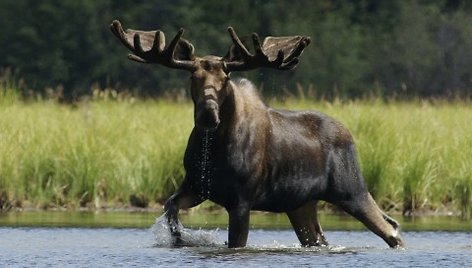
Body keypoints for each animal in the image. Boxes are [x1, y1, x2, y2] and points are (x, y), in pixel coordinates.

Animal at [109, 19, 404, 248]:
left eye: (225, 79)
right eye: (193, 77)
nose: (208, 115)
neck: (214, 149)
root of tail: (350, 135)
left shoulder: (242, 199)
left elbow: (236, 242)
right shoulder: (196, 186)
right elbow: (170, 208)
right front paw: (180, 239)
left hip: (351, 190)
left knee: (391, 230)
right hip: (301, 204)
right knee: (321, 239)